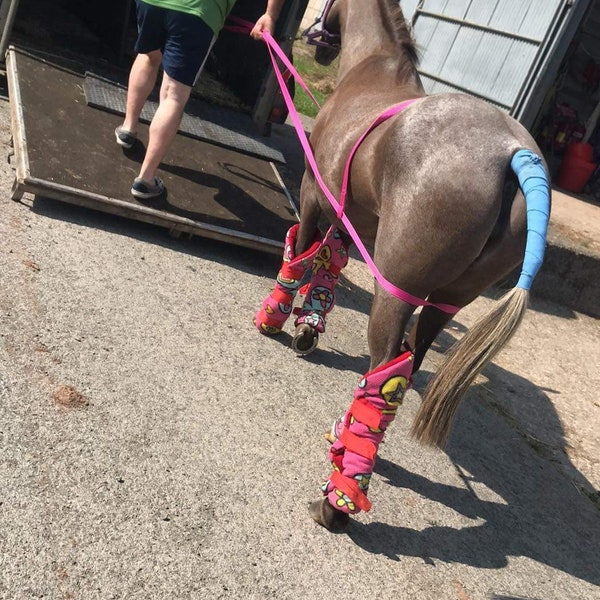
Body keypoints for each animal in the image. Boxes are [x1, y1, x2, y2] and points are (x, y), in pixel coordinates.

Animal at [253, 0, 548, 528]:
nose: (317, 39)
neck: (373, 70)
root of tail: (515, 156)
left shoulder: (312, 193)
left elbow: (301, 255)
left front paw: (275, 320)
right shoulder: (350, 216)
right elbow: (328, 263)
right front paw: (308, 327)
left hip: (395, 291)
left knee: (384, 372)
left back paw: (338, 500)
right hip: (444, 303)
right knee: (409, 366)